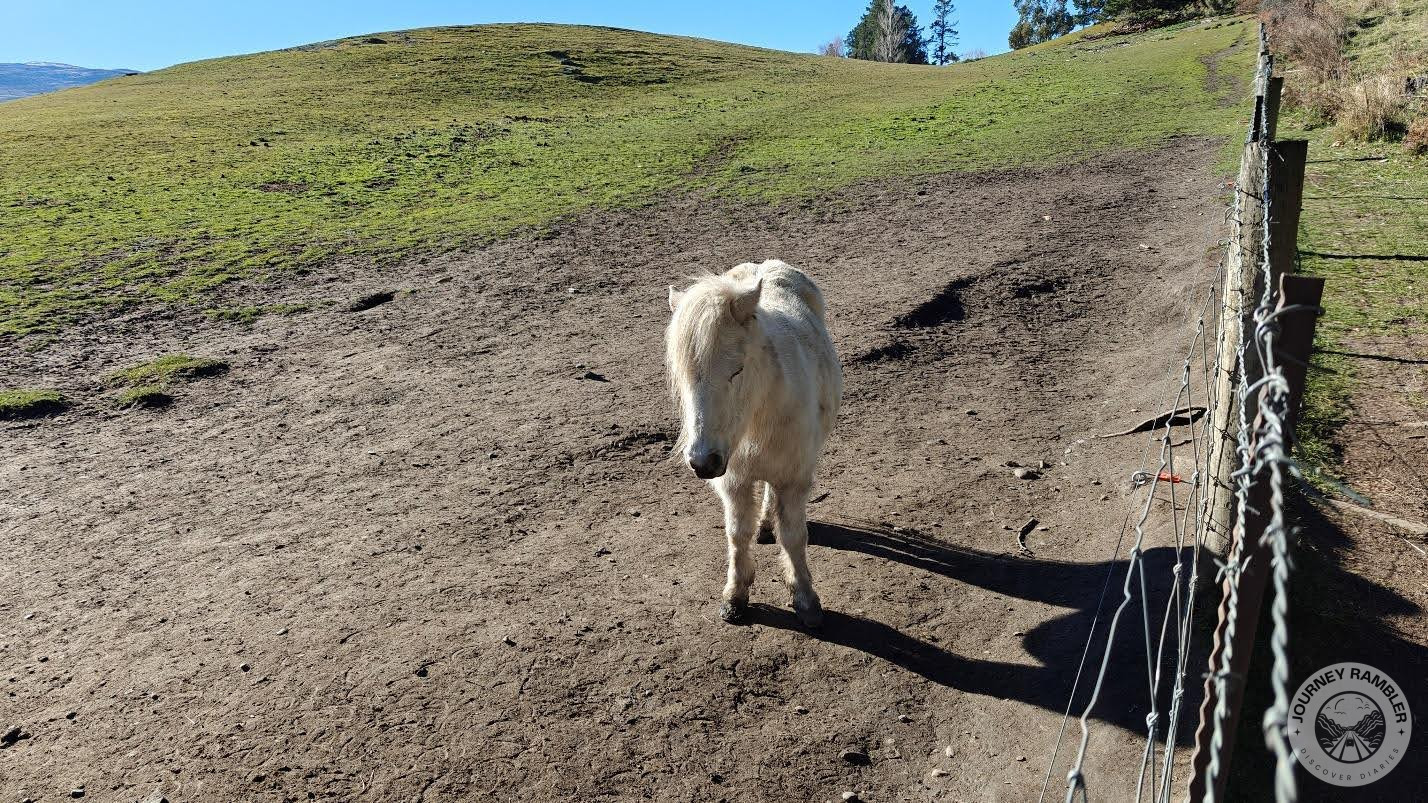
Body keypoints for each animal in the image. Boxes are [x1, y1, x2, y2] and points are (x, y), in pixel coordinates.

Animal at [664, 259, 842, 628]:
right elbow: (736, 534)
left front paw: (806, 599)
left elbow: (793, 536)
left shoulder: (794, 477)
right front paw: (735, 597)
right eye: (684, 376)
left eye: (736, 370)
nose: (703, 462)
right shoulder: (733, 481)